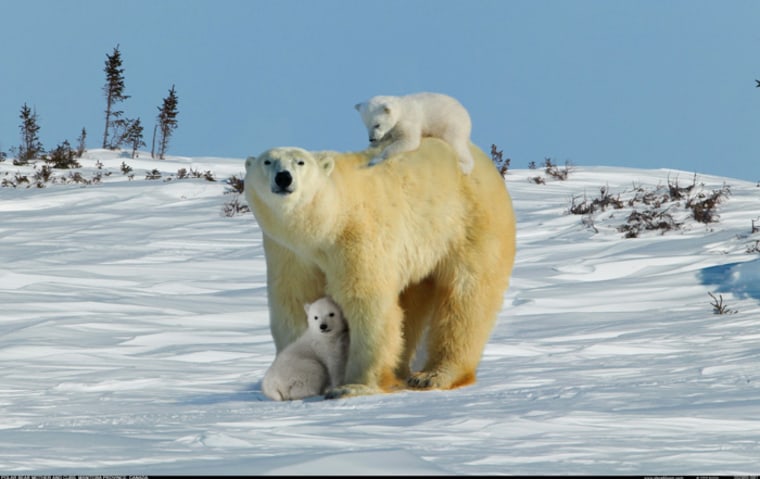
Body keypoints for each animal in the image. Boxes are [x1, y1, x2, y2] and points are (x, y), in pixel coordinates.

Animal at [243, 138, 516, 398]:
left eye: (300, 162)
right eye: (267, 161)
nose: (283, 177)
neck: (326, 223)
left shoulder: (357, 236)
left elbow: (367, 303)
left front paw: (353, 386)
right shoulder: (289, 252)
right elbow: (294, 301)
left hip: (469, 225)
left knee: (466, 298)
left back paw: (433, 375)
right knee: (413, 301)